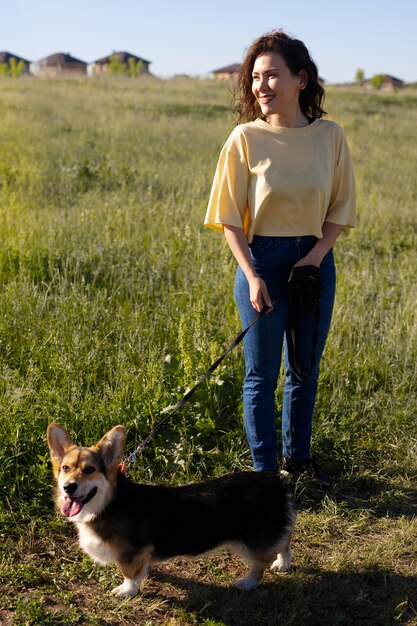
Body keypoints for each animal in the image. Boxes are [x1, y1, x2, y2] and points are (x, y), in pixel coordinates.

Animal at [47, 424, 294, 596]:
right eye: (65, 468)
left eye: (89, 470)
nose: (69, 487)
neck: (109, 503)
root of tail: (272, 479)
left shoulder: (131, 553)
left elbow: (130, 573)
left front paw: (127, 590)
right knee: (284, 541)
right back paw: (283, 563)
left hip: (252, 540)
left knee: (261, 562)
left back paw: (249, 582)